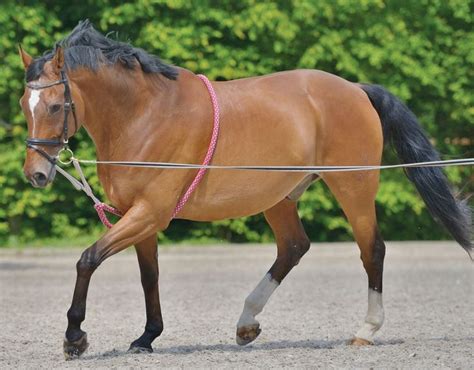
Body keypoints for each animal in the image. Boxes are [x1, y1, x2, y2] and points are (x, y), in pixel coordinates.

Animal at [17, 20, 470, 358]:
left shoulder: (149, 212)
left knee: (371, 249)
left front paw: (74, 338)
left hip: (353, 186)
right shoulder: (138, 216)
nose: (35, 174)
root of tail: (355, 89)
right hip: (280, 197)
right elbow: (150, 276)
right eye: (25, 105)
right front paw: (147, 337)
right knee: (293, 247)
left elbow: (88, 260)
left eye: (55, 106)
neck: (145, 115)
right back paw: (246, 324)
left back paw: (365, 330)